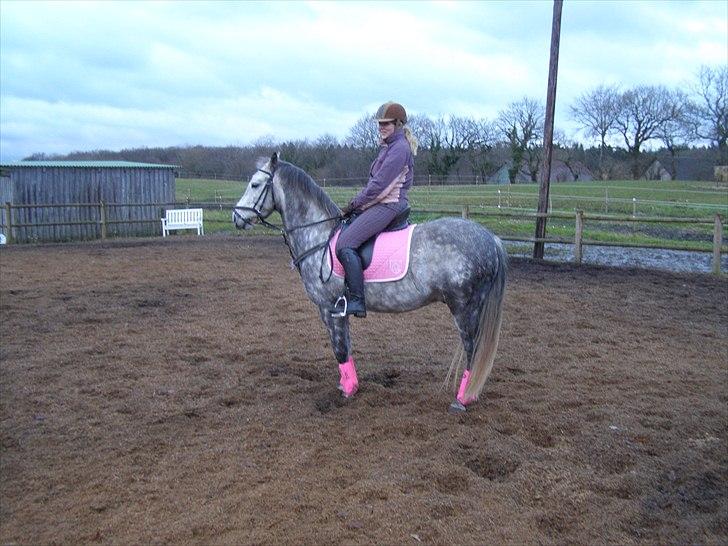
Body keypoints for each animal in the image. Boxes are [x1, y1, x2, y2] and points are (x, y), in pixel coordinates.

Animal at [233, 153, 507, 413]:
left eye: (255, 184)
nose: (236, 217)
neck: (320, 238)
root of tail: (491, 239)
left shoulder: (329, 308)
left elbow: (339, 348)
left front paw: (348, 391)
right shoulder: (338, 310)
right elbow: (346, 347)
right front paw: (348, 384)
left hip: (465, 308)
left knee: (473, 350)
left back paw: (462, 399)